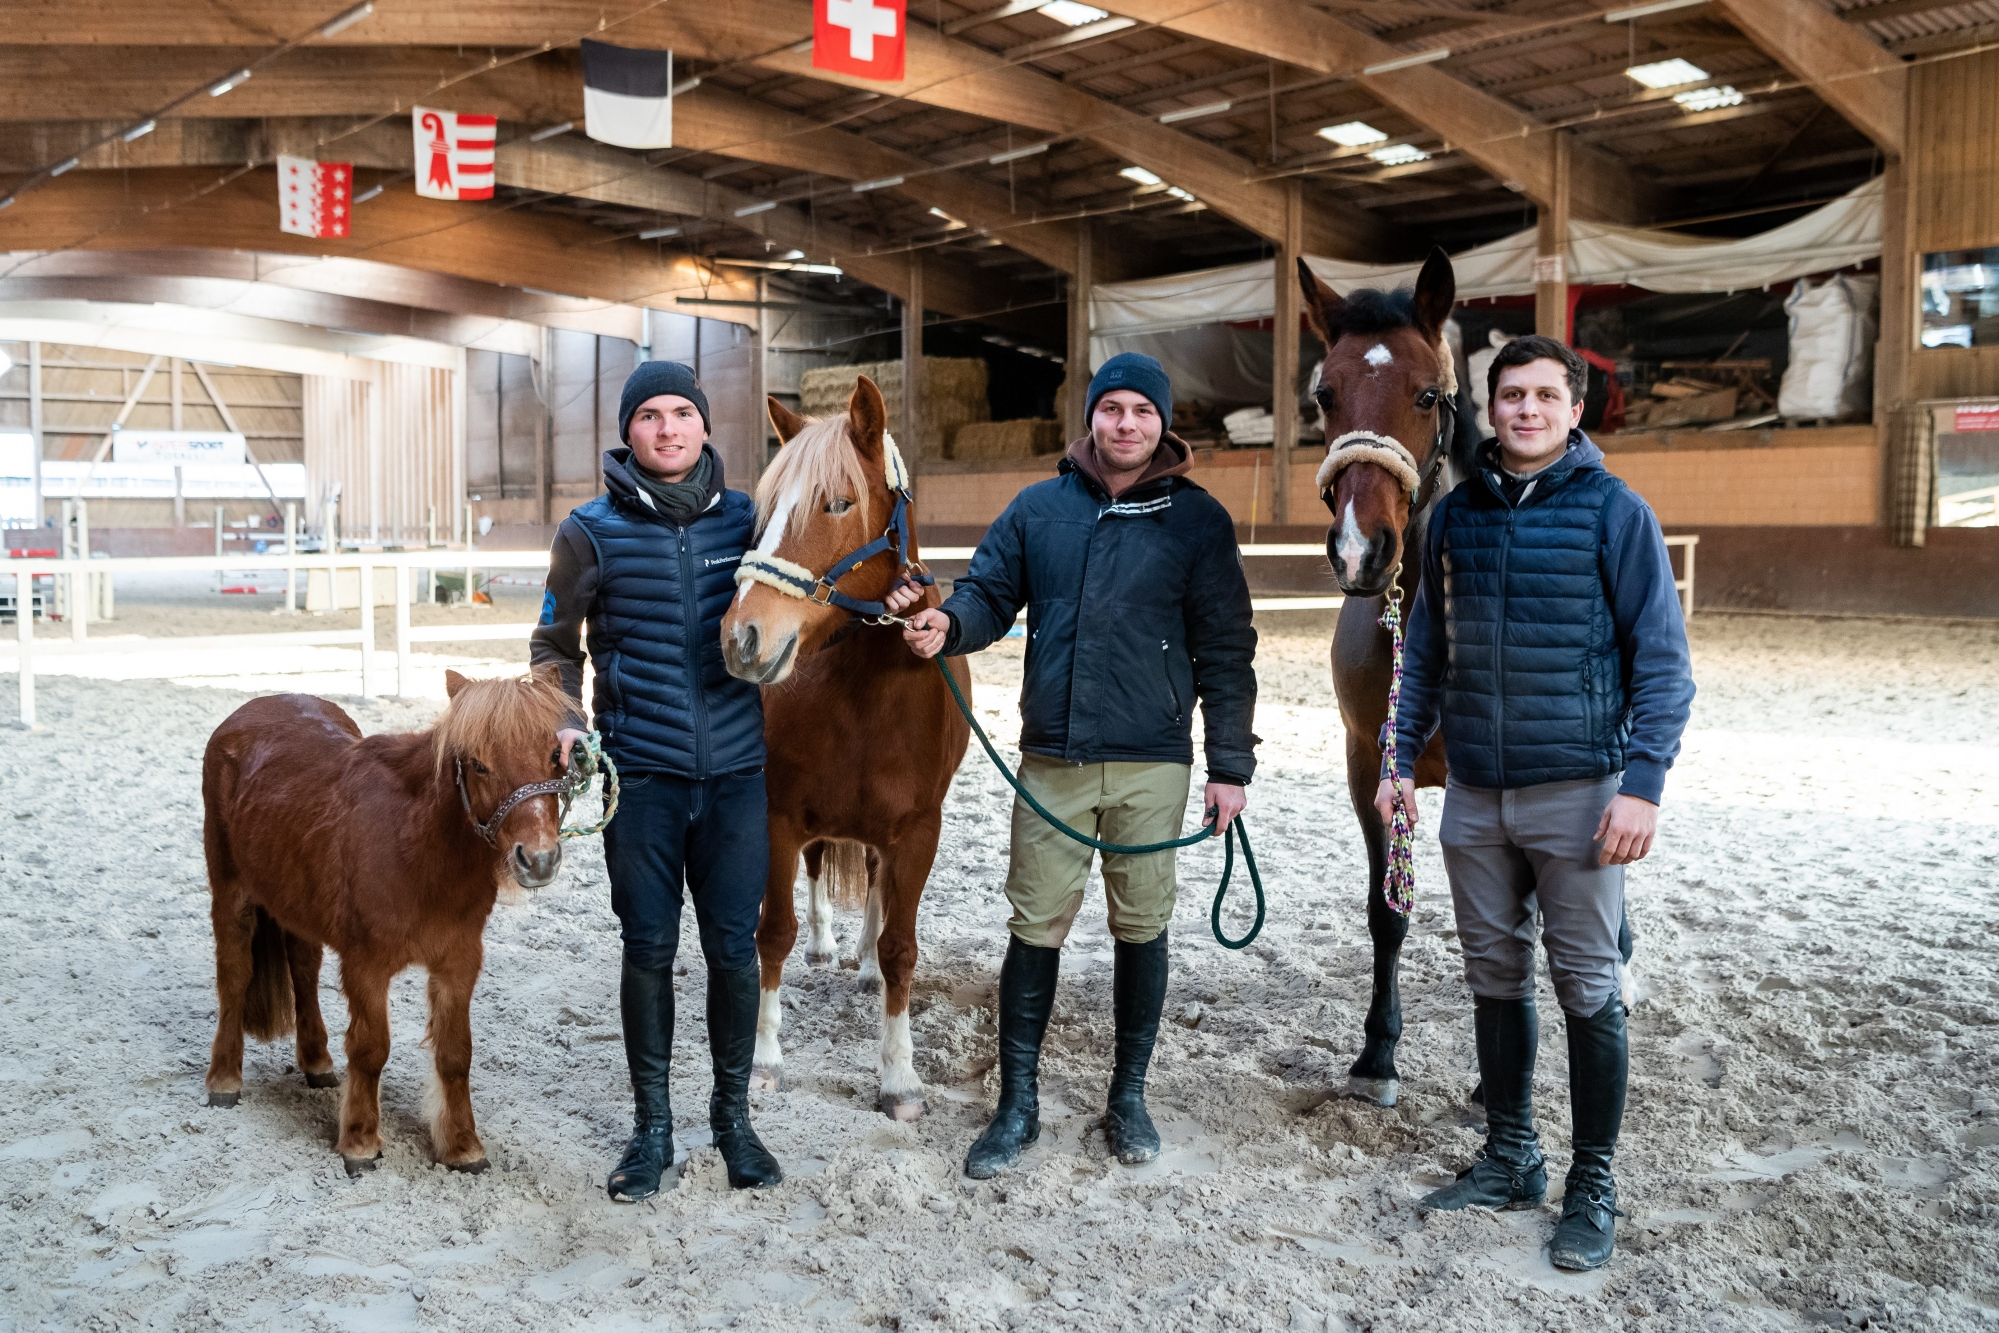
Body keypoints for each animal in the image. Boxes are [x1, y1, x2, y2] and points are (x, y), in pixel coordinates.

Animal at [198, 671, 575, 1175]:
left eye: (555, 756)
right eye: (477, 764)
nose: (538, 860)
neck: (412, 845)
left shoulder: (458, 962)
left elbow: (455, 1052)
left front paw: (462, 1145)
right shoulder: (366, 966)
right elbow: (371, 1049)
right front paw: (359, 1142)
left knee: (304, 970)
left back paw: (317, 1063)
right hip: (232, 892)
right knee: (235, 976)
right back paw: (223, 1079)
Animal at [723, 377, 971, 1127]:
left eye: (836, 502)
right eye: (764, 509)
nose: (742, 637)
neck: (863, 693)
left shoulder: (917, 830)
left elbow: (901, 947)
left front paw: (899, 1077)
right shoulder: (778, 817)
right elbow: (771, 932)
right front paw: (765, 1061)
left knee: (875, 882)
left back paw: (860, 963)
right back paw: (828, 944)